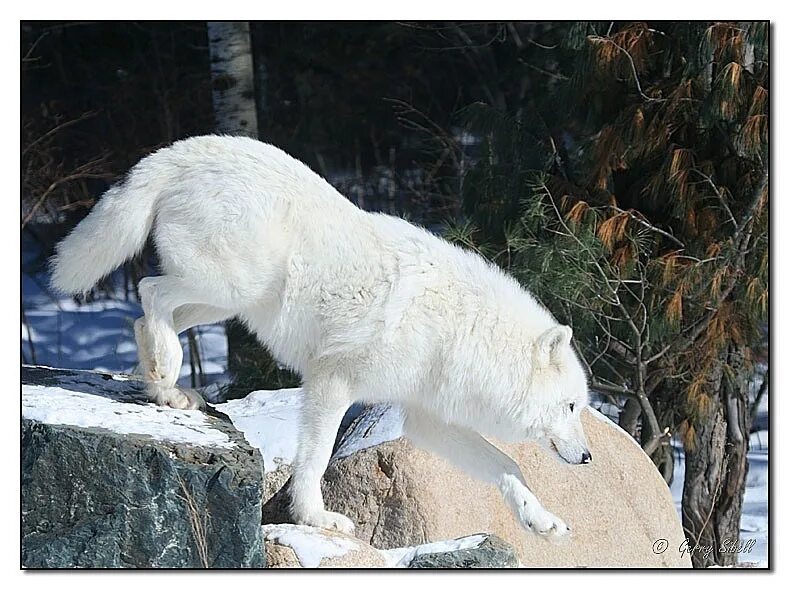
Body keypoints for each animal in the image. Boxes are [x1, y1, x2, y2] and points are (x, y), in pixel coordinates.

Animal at [51, 136, 592, 544]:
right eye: (570, 407)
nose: (588, 457)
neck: (459, 328)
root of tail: (185, 149)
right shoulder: (333, 382)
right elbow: (314, 459)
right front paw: (315, 518)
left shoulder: (425, 420)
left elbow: (507, 466)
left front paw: (542, 521)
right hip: (231, 287)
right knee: (148, 290)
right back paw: (165, 369)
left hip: (228, 303)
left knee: (144, 318)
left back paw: (163, 390)